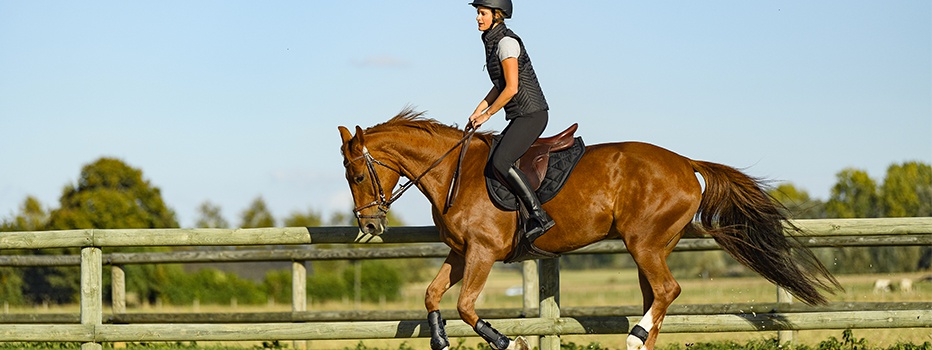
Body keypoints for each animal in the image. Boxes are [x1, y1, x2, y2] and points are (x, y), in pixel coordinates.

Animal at [338, 110, 840, 350]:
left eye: (358, 175)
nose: (370, 224)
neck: (452, 173)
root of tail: (685, 162)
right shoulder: (461, 253)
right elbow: (431, 296)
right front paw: (440, 340)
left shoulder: (483, 252)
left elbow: (464, 306)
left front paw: (513, 341)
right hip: (651, 247)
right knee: (656, 298)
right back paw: (640, 341)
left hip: (643, 243)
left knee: (667, 291)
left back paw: (633, 339)